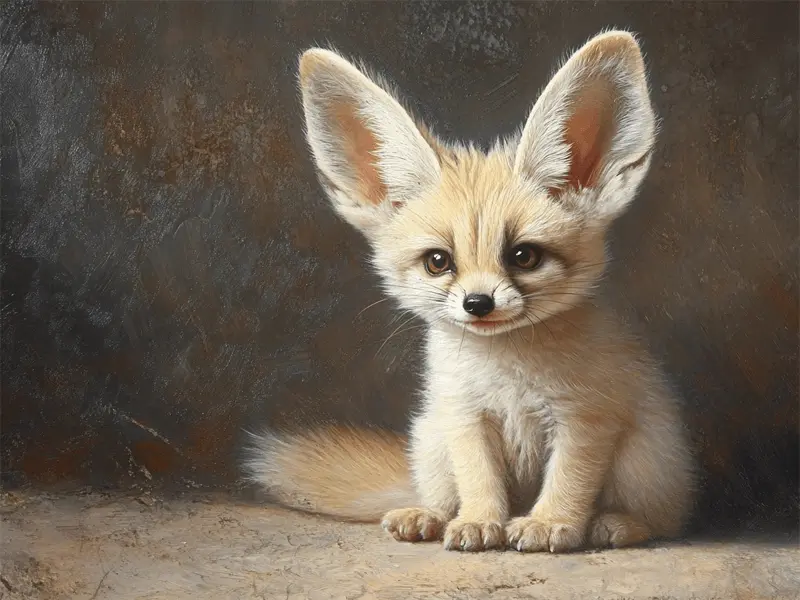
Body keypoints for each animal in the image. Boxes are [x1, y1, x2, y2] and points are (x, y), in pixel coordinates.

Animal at [244, 30, 695, 553]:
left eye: (524, 256)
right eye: (439, 262)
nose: (478, 303)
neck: (507, 370)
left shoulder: (585, 418)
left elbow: (568, 480)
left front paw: (549, 524)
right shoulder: (465, 416)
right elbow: (479, 481)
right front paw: (479, 522)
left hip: (646, 458)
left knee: (664, 519)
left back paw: (617, 524)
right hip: (431, 434)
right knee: (440, 494)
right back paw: (428, 516)